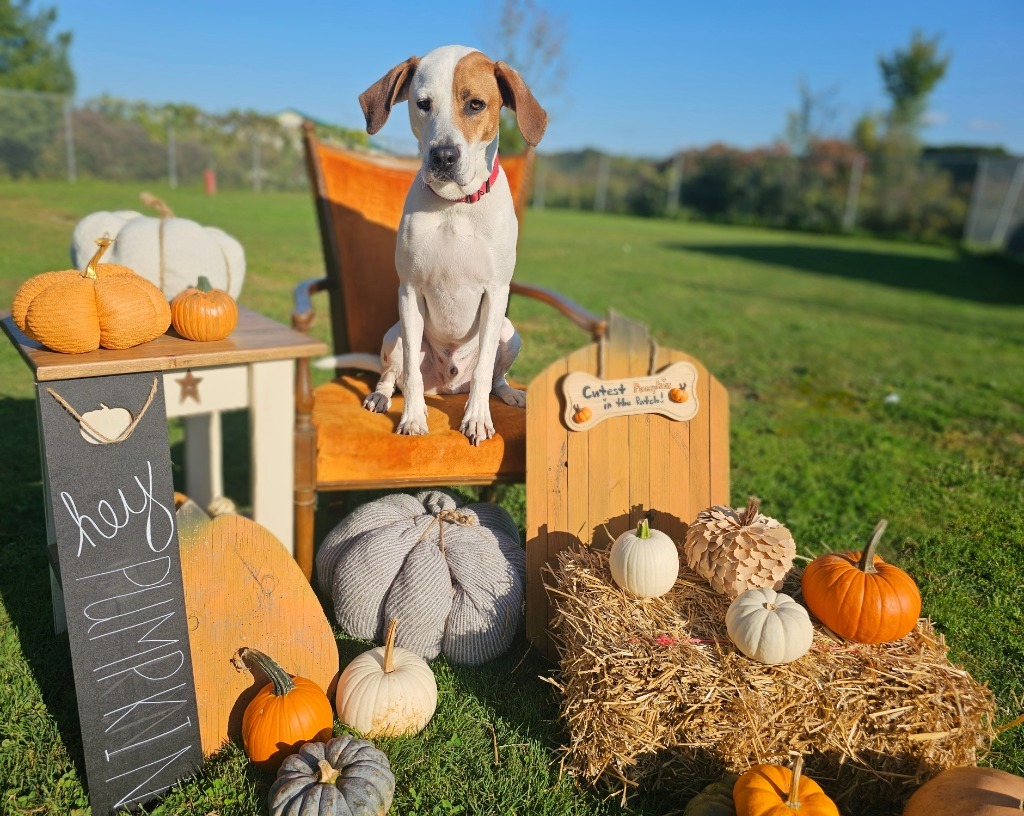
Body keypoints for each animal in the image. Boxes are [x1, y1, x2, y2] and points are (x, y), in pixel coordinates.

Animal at [358, 44, 548, 446]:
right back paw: (381, 397)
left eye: (475, 104)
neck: (454, 205)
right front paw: (413, 418)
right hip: (394, 333)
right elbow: (411, 374)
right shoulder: (409, 291)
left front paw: (476, 419)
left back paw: (507, 393)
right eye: (423, 103)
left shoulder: (496, 291)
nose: (444, 156)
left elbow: (485, 371)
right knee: (392, 374)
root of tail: (447, 387)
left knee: (493, 377)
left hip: (510, 332)